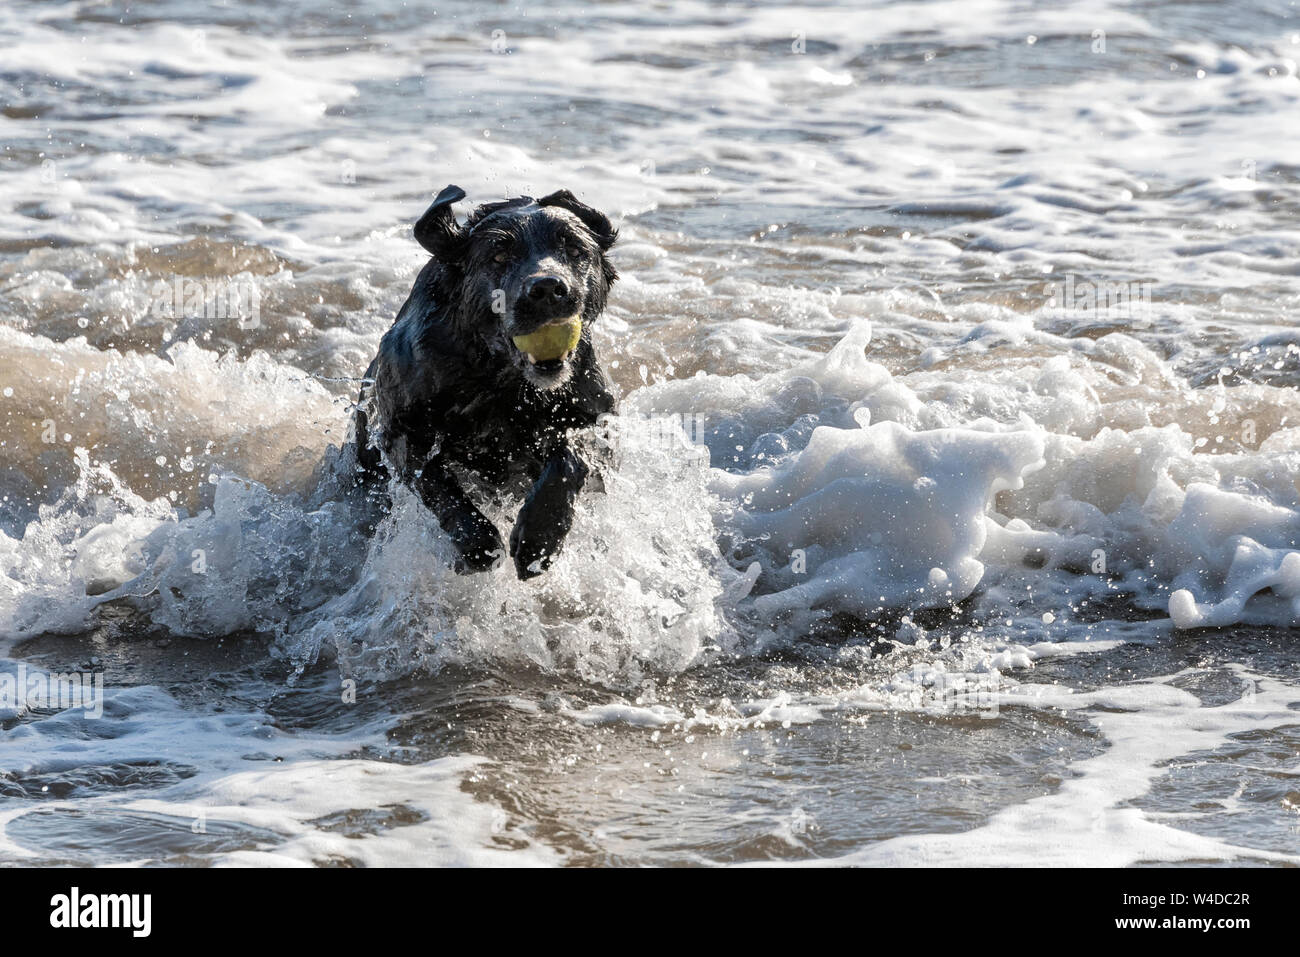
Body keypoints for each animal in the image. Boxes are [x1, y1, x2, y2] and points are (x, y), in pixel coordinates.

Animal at [345, 183, 618, 579]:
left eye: (574, 250)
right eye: (499, 256)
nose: (548, 289)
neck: (500, 379)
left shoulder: (594, 416)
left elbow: (571, 454)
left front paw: (540, 536)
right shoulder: (401, 429)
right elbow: (433, 478)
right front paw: (479, 541)